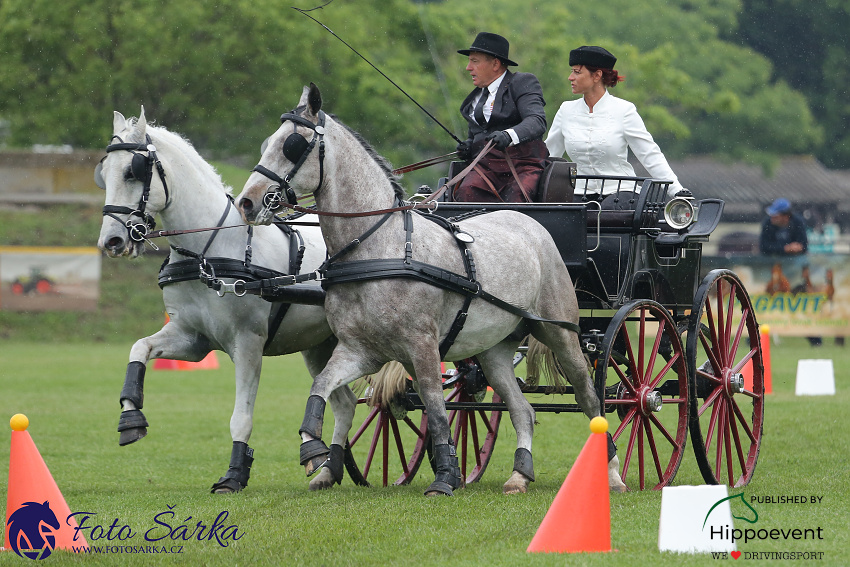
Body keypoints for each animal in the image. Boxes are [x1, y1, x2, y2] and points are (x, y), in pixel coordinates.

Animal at [95, 110, 354, 492]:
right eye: (104, 172)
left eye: (133, 171)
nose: (111, 241)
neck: (210, 251)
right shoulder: (193, 339)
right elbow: (139, 348)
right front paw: (131, 418)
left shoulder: (247, 343)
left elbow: (241, 417)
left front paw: (234, 474)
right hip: (319, 346)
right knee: (344, 403)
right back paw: (327, 467)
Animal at [235, 85, 628, 496]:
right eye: (267, 143)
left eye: (292, 145)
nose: (247, 202)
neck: (380, 248)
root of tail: (530, 221)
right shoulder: (360, 350)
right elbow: (323, 387)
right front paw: (314, 451)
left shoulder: (422, 347)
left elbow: (437, 410)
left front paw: (445, 476)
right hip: (494, 350)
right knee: (523, 409)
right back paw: (520, 474)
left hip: (560, 333)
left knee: (590, 399)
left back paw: (613, 473)